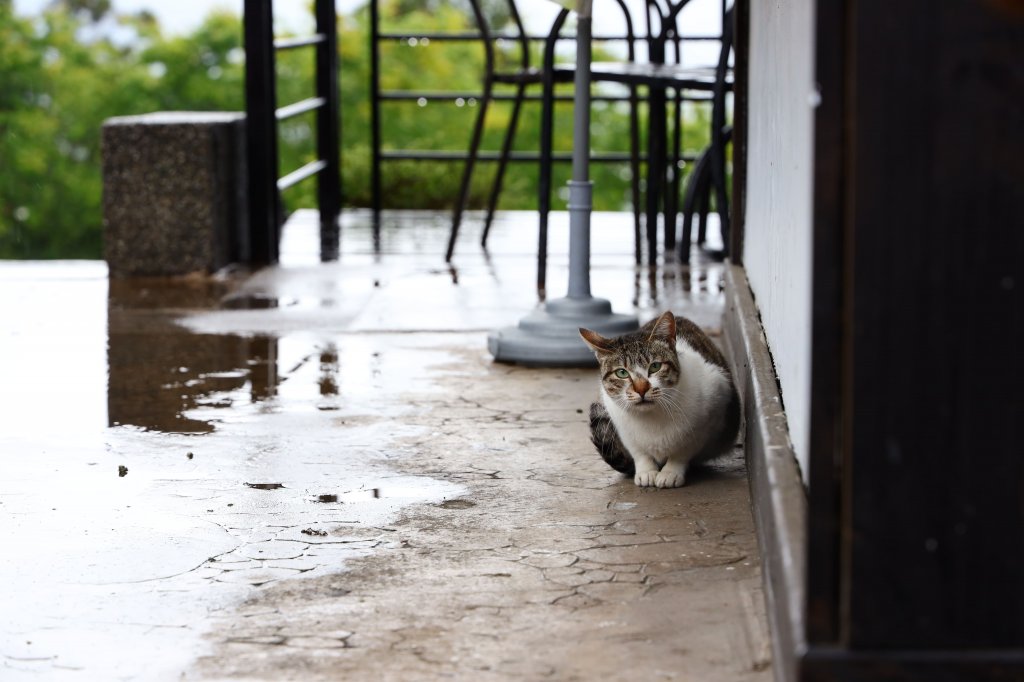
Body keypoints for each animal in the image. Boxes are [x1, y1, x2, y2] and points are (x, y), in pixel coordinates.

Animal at [581, 311, 741, 485]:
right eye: (621, 373)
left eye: (655, 366)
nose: (641, 389)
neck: (651, 417)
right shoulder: (620, 424)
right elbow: (639, 452)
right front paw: (646, 470)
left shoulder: (710, 414)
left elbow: (683, 450)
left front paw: (671, 472)